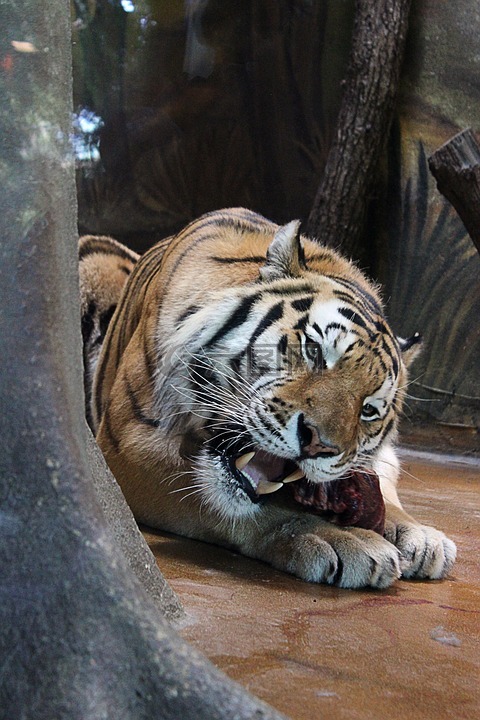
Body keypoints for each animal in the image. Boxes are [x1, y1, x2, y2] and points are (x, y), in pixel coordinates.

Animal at [79, 208, 458, 592]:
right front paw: (345, 539)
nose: (318, 444)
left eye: (368, 410)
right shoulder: (128, 448)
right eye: (313, 350)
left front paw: (419, 535)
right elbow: (240, 507)